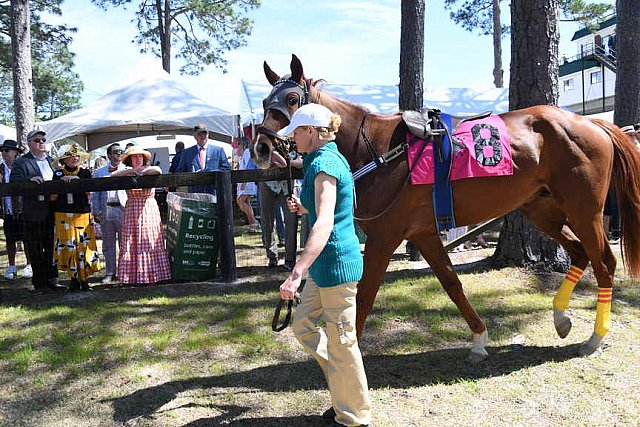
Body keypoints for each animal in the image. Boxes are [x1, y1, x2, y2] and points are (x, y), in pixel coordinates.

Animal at [254, 54, 640, 362]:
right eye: (264, 101)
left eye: (292, 99)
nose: (260, 147)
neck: (379, 149)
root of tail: (592, 122)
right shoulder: (423, 233)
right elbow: (452, 283)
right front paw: (479, 341)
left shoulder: (385, 237)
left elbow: (365, 296)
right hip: (542, 209)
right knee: (579, 253)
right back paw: (561, 318)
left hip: (585, 212)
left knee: (604, 264)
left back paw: (595, 337)